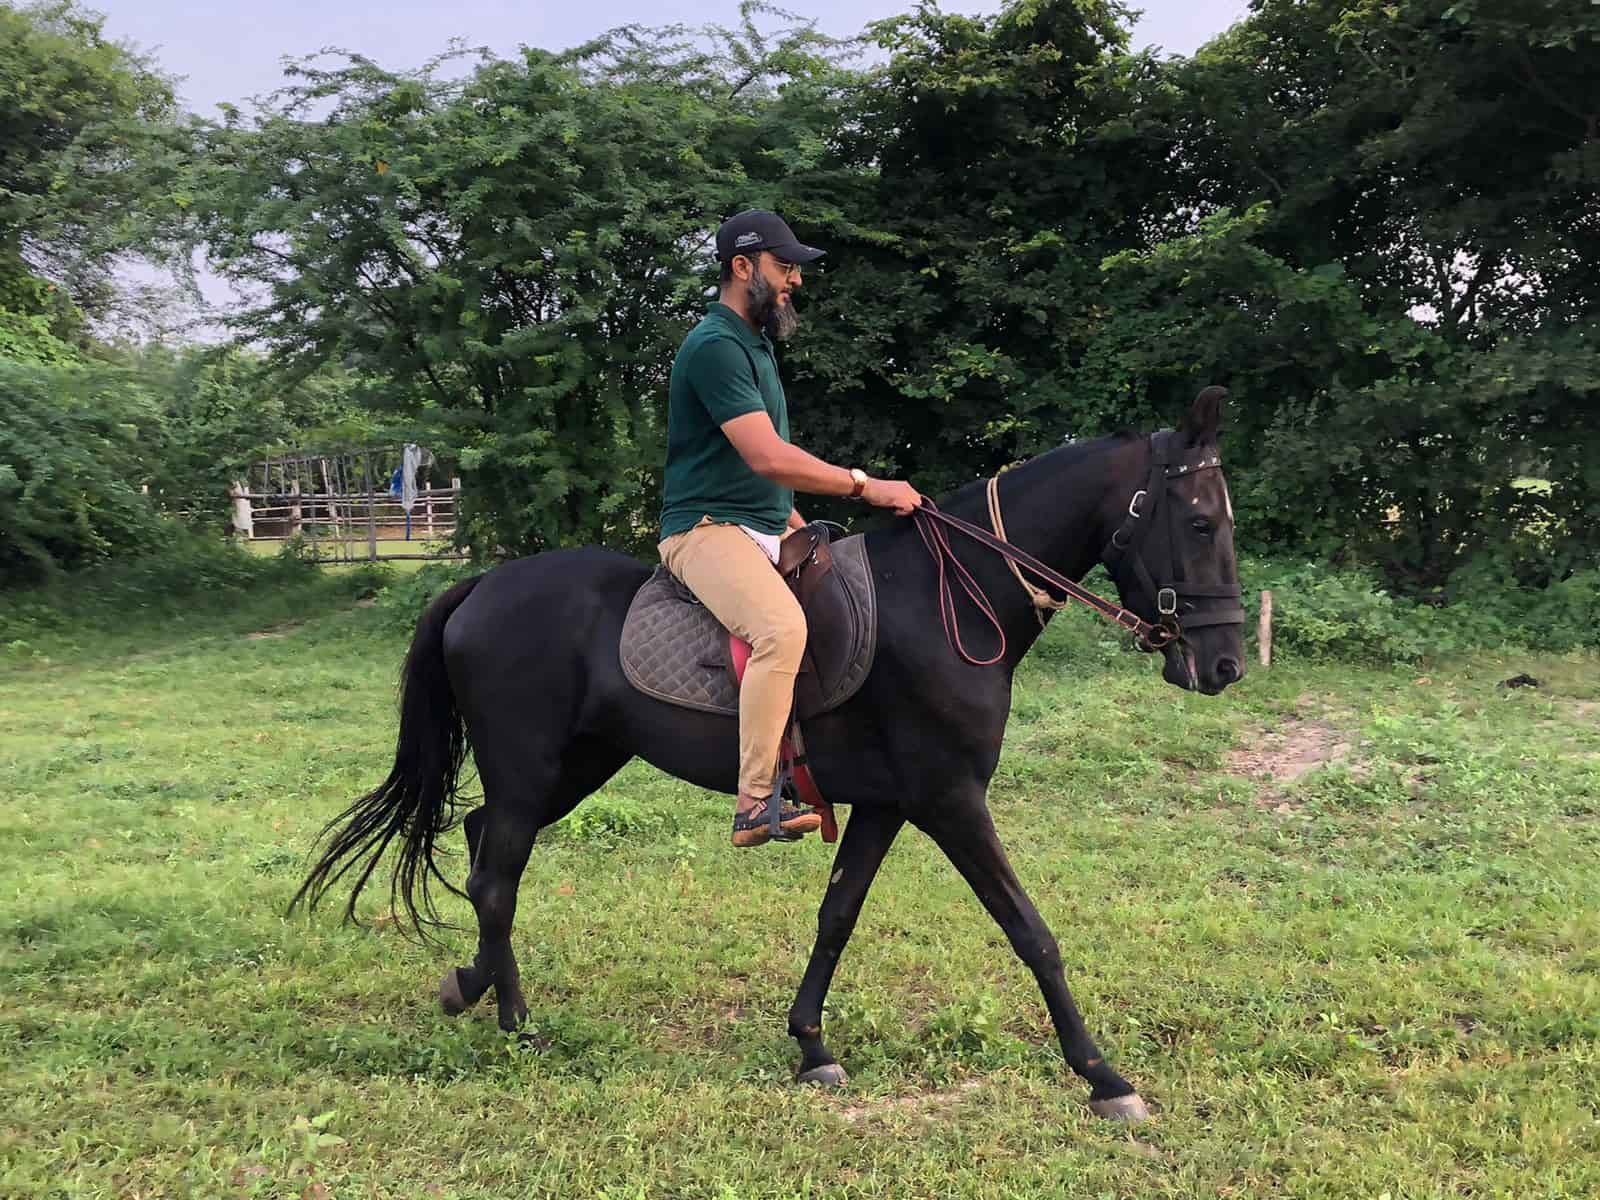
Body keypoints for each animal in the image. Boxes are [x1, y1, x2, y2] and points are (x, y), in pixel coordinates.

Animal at [294, 386, 1245, 1122]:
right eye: (1199, 522)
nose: (1225, 665)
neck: (947, 600)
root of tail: (482, 587)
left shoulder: (890, 803)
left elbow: (838, 914)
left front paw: (812, 1045)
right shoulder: (951, 800)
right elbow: (1030, 931)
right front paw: (1103, 1075)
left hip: (573, 766)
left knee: (480, 840)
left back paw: (473, 983)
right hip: (535, 771)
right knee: (496, 873)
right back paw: (518, 1023)